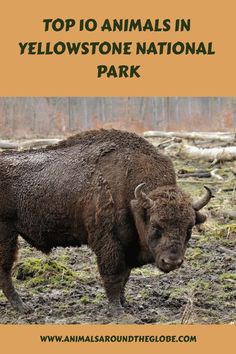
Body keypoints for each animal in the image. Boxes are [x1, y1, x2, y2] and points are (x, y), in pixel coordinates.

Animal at [0, 129, 212, 316]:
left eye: (189, 227)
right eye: (155, 225)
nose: (172, 261)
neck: (133, 199)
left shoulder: (127, 246)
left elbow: (125, 276)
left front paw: (124, 303)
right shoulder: (109, 243)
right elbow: (114, 275)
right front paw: (117, 310)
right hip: (7, 234)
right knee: (5, 269)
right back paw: (23, 307)